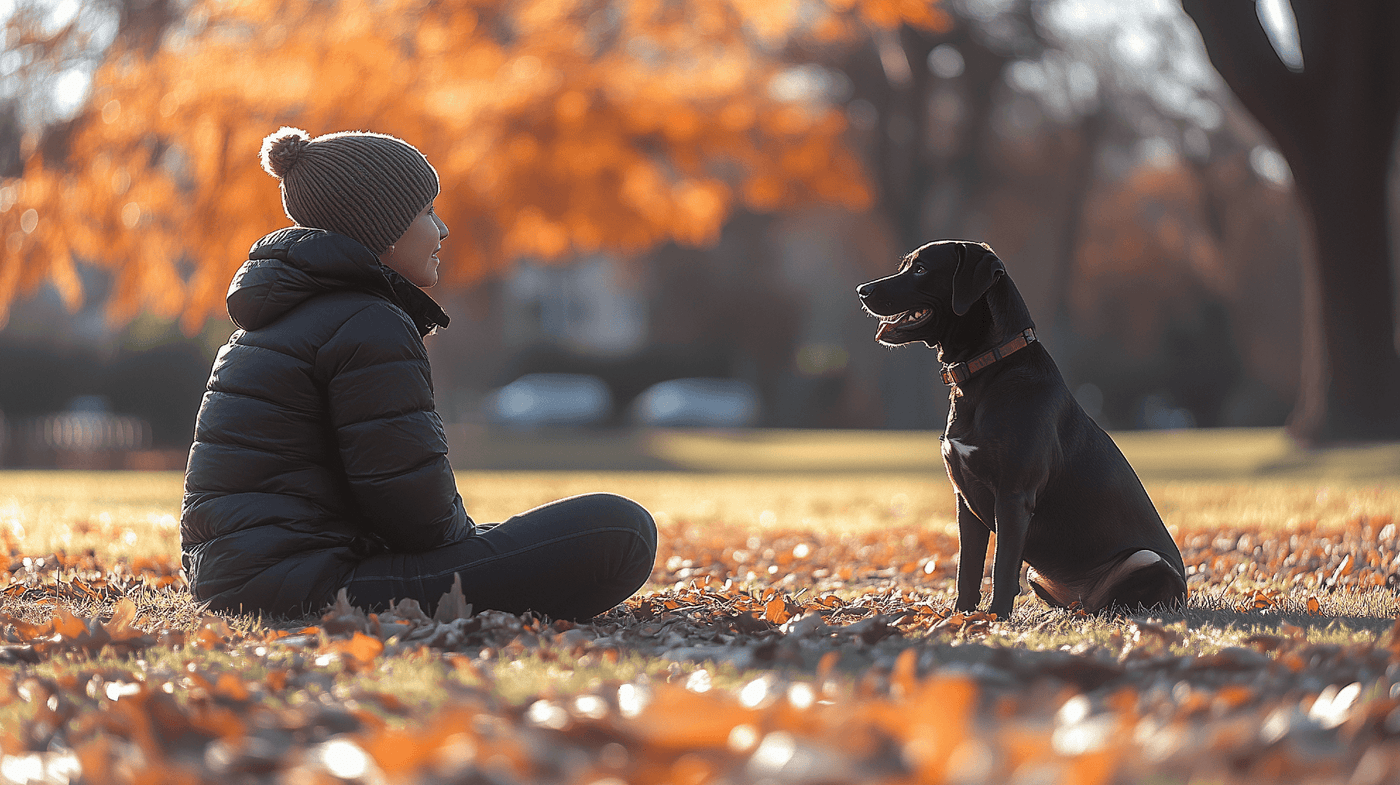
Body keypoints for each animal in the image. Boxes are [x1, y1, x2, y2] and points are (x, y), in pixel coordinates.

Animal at [856, 239, 1187, 618]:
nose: (862, 290)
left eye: (921, 269)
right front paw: (962, 617)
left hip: (1146, 560)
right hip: (1037, 573)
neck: (988, 369)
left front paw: (996, 618)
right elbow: (967, 568)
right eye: (905, 265)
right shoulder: (965, 500)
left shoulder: (1013, 496)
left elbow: (1000, 567)